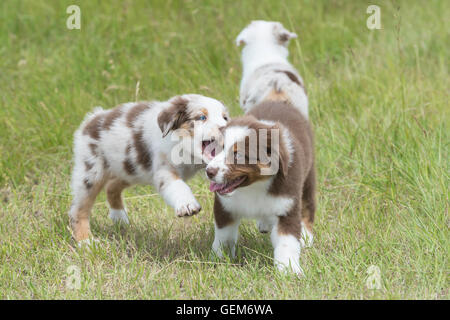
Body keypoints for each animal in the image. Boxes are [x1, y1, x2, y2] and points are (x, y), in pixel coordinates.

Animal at [70, 94, 229, 244]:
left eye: (225, 118)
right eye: (202, 117)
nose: (226, 128)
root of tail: (93, 118)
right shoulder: (164, 170)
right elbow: (178, 186)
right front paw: (187, 205)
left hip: (130, 169)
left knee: (111, 186)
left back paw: (120, 218)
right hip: (91, 172)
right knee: (78, 209)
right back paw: (86, 241)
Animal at [206, 20, 314, 276]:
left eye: (239, 155)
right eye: (217, 149)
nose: (209, 172)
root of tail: (278, 94)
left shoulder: (287, 206)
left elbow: (287, 241)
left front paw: (289, 271)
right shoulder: (224, 207)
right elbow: (223, 237)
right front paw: (218, 260)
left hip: (309, 177)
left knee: (308, 206)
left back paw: (307, 236)